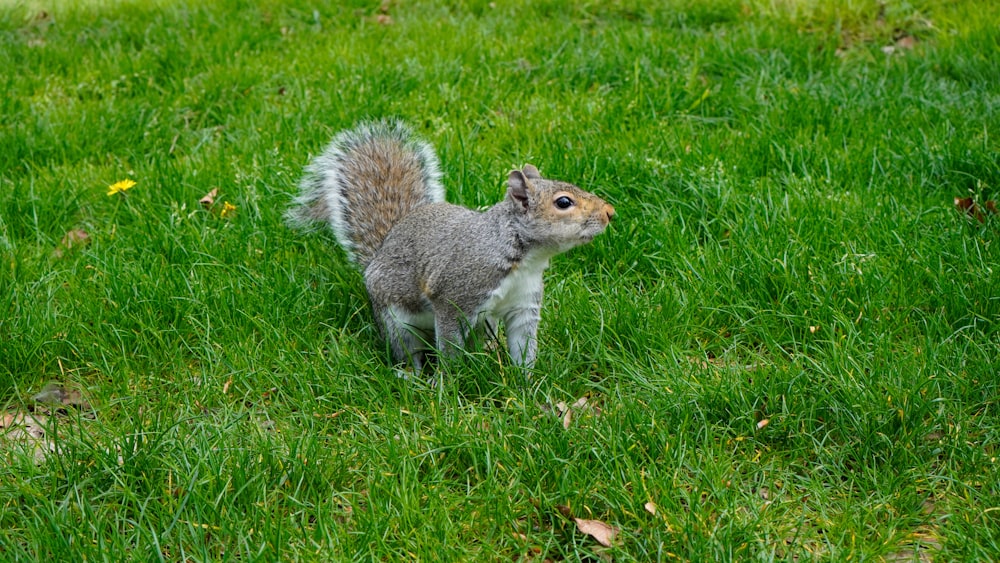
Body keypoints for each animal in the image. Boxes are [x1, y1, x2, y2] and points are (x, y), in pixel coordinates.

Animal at [288, 121, 616, 372]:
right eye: (563, 202)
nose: (610, 212)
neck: (520, 257)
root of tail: (380, 250)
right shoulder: (453, 298)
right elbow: (449, 346)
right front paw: (453, 383)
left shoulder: (523, 303)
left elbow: (523, 345)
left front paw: (528, 383)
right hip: (395, 320)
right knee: (407, 349)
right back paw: (413, 375)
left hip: (484, 323)